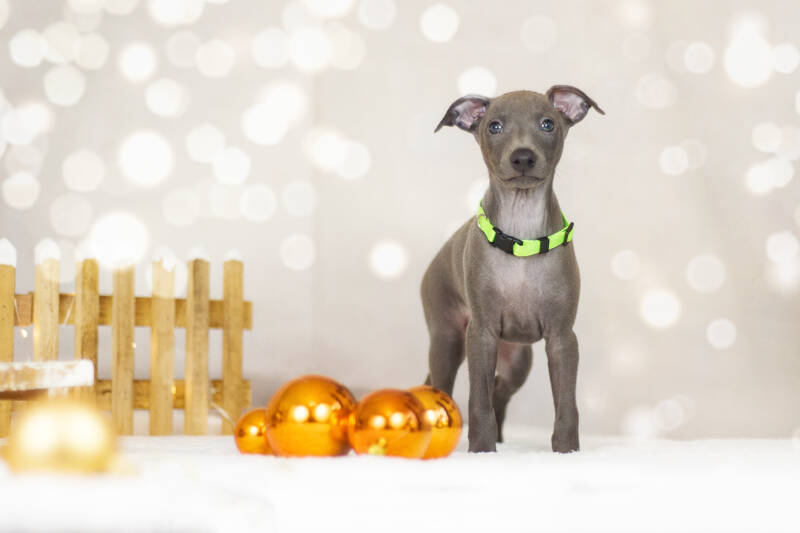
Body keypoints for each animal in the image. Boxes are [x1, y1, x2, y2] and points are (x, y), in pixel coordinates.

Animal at [422, 86, 603, 453]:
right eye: (494, 126)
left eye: (547, 124)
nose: (523, 157)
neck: (522, 235)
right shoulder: (480, 334)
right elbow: (478, 401)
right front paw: (481, 450)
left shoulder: (562, 338)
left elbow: (566, 403)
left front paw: (567, 450)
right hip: (447, 338)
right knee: (442, 386)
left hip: (517, 359)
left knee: (500, 390)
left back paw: (502, 438)